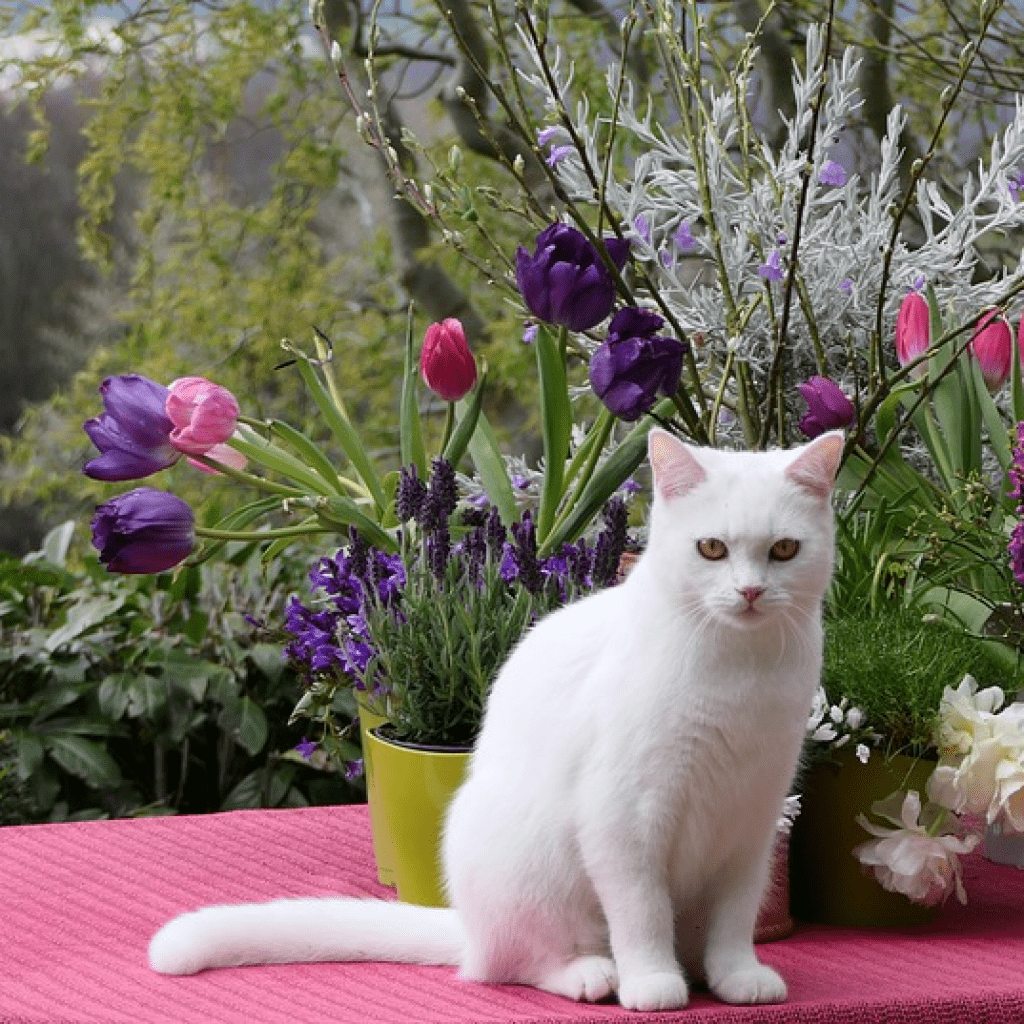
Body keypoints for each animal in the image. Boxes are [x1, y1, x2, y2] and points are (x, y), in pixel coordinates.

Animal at [149, 428, 839, 1011]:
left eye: (783, 550)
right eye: (712, 549)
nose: (750, 592)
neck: (737, 668)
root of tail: (468, 928)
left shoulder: (749, 823)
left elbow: (734, 917)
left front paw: (736, 974)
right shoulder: (624, 819)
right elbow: (642, 913)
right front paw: (651, 981)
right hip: (529, 864)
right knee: (509, 965)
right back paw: (593, 973)